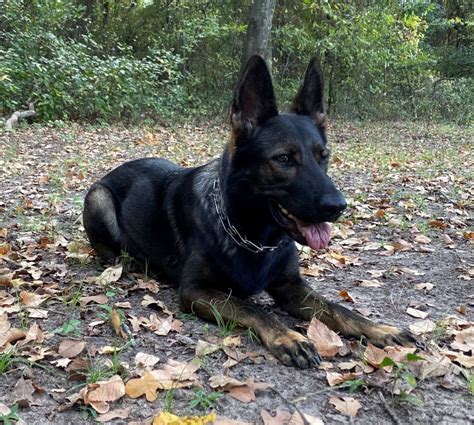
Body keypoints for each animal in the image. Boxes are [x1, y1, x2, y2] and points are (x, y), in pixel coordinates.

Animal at [83, 55, 412, 368]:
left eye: (323, 156)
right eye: (283, 159)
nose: (338, 206)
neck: (252, 235)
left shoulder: (291, 286)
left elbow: (338, 308)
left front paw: (381, 329)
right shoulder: (197, 290)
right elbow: (252, 307)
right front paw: (288, 337)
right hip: (98, 197)